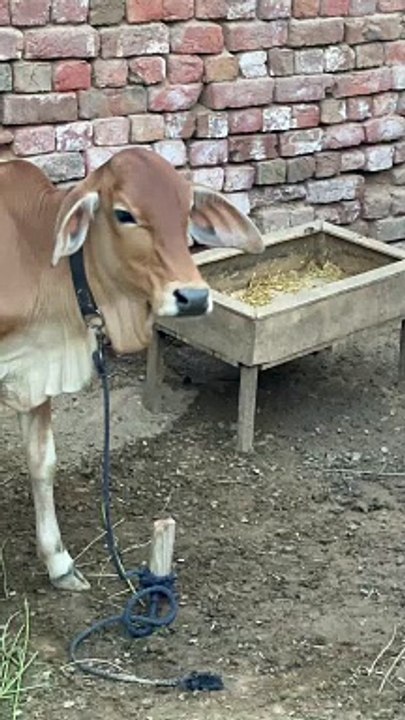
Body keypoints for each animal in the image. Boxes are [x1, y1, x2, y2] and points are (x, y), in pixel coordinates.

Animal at [0, 147, 263, 591]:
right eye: (124, 214)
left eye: (187, 210)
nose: (193, 297)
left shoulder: (35, 373)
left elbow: (42, 462)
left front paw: (59, 563)